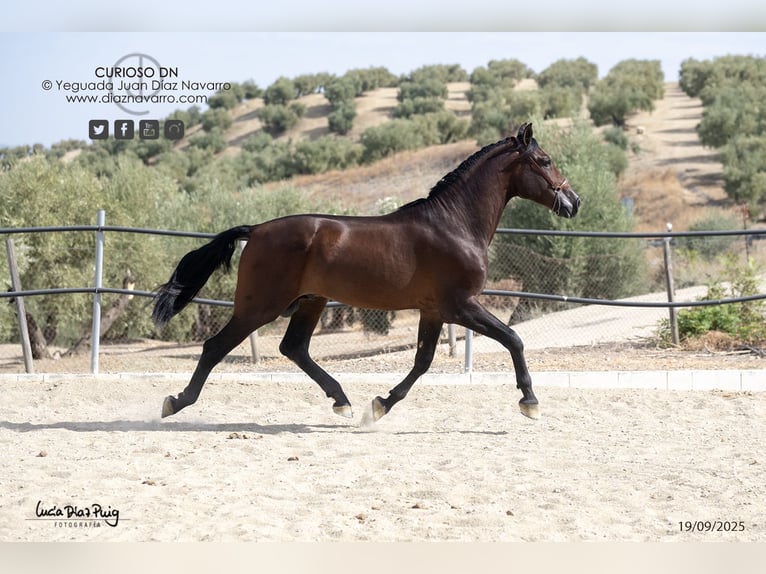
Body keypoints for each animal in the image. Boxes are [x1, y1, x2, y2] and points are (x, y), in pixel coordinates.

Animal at [152, 123, 580, 422]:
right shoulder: (461, 305)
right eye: (544, 161)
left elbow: (423, 361)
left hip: (311, 301)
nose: (574, 202)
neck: (455, 224)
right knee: (215, 347)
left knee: (294, 348)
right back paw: (175, 402)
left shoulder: (433, 310)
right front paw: (530, 401)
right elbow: (513, 339)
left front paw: (379, 405)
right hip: (260, 306)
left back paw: (342, 401)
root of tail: (255, 230)